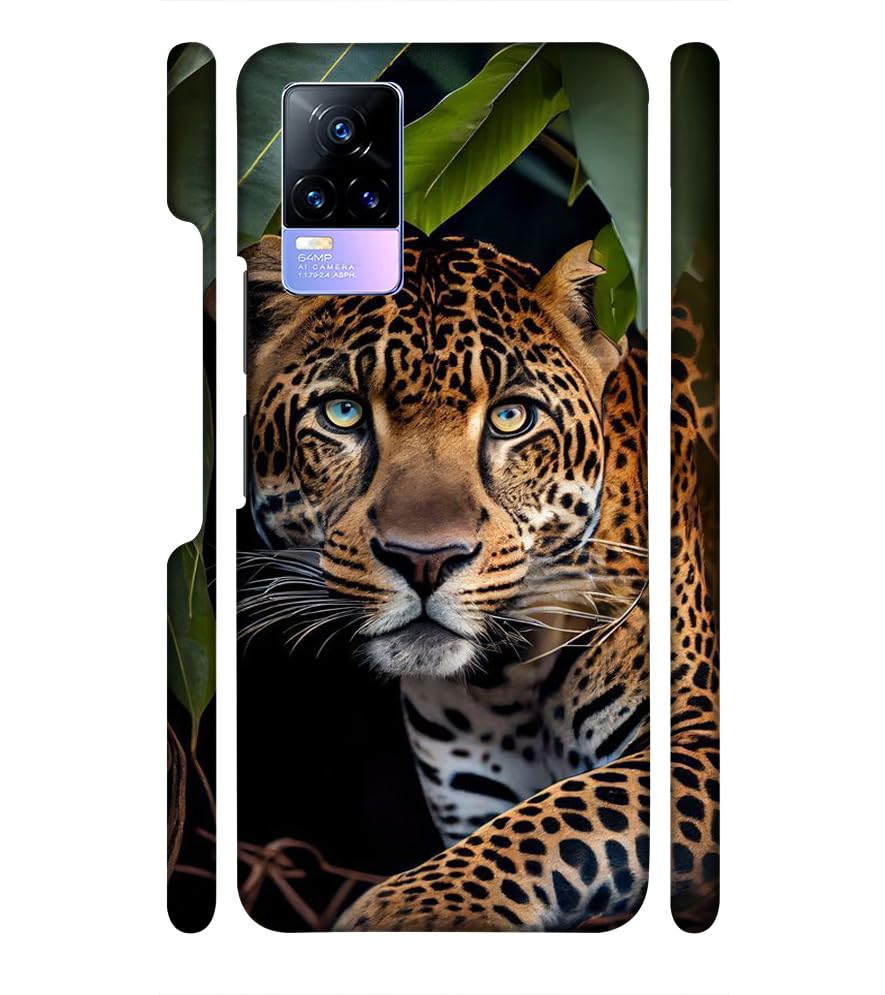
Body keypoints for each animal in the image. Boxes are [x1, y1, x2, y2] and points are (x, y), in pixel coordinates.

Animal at [239, 233, 719, 930]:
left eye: (512, 418)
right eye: (343, 413)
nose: (423, 559)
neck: (509, 677)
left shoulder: (700, 738)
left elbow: (562, 819)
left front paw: (413, 907)